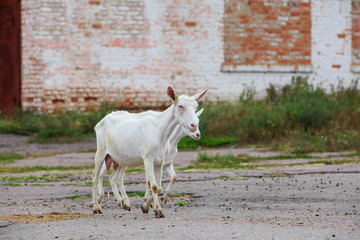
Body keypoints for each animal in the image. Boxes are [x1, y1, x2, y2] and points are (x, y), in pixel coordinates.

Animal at [91, 86, 207, 218]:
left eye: (195, 106)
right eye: (180, 106)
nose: (194, 126)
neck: (160, 130)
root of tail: (100, 122)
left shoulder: (159, 161)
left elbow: (159, 186)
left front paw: (146, 206)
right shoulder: (148, 159)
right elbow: (153, 185)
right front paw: (158, 210)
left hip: (119, 158)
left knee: (114, 178)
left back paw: (124, 203)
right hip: (101, 151)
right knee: (95, 177)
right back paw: (96, 207)